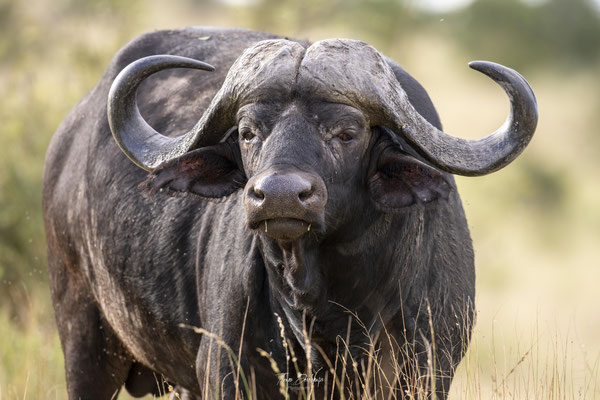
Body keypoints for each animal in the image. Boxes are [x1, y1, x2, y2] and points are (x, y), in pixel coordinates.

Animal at [43, 26, 540, 398]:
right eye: (247, 131)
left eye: (347, 132)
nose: (279, 195)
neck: (329, 311)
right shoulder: (226, 370)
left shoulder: (427, 369)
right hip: (85, 343)